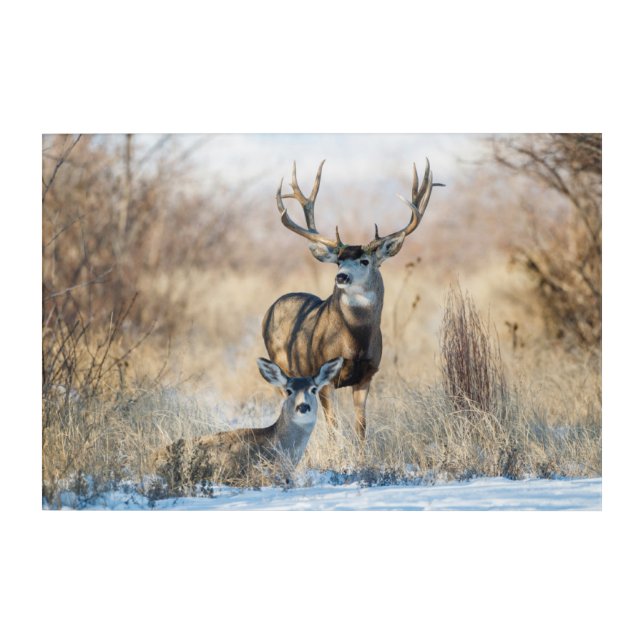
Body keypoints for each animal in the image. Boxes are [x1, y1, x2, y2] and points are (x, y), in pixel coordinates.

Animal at [262, 158, 442, 441]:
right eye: (338, 260)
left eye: (365, 260)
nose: (341, 276)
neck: (354, 341)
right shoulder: (323, 377)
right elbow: (334, 428)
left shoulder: (367, 375)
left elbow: (361, 427)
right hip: (282, 366)